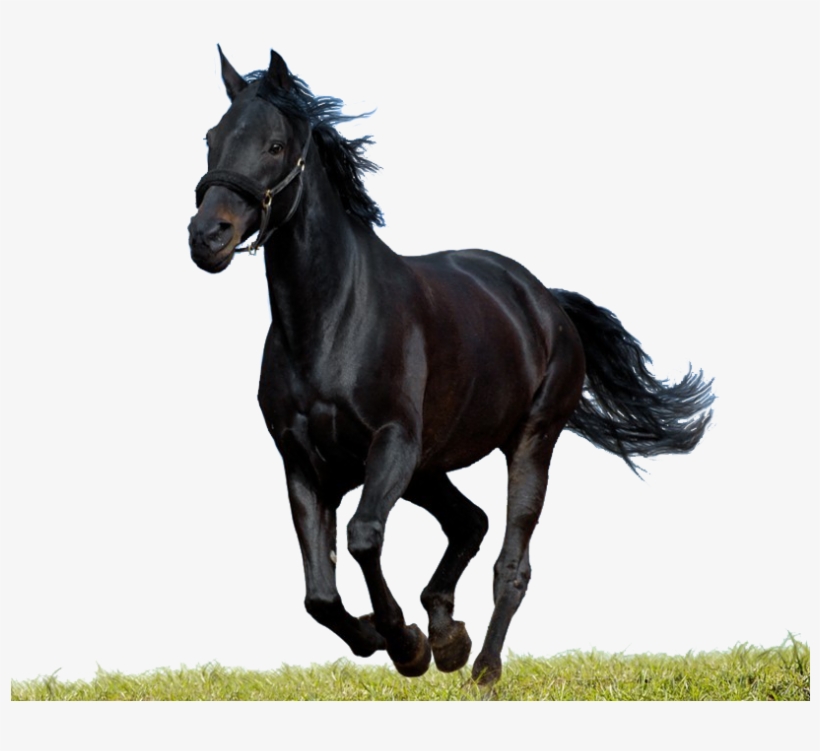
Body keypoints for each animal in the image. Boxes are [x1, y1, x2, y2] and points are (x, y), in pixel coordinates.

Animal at [188, 47, 714, 686]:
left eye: (274, 145)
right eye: (211, 138)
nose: (206, 236)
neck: (331, 321)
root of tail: (544, 300)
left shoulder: (392, 442)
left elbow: (363, 538)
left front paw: (405, 643)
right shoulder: (303, 463)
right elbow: (319, 594)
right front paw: (393, 636)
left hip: (528, 443)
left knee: (510, 562)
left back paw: (480, 668)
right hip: (429, 468)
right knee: (470, 523)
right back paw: (448, 634)